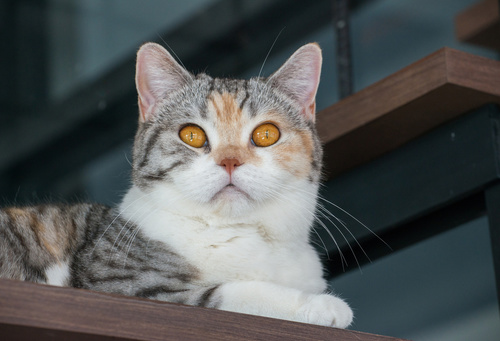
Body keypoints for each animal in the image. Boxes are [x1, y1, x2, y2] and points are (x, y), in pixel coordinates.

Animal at [0, 41, 354, 328]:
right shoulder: (122, 286)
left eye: (266, 134)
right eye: (192, 135)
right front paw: (322, 305)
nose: (230, 161)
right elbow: (232, 293)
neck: (238, 234)